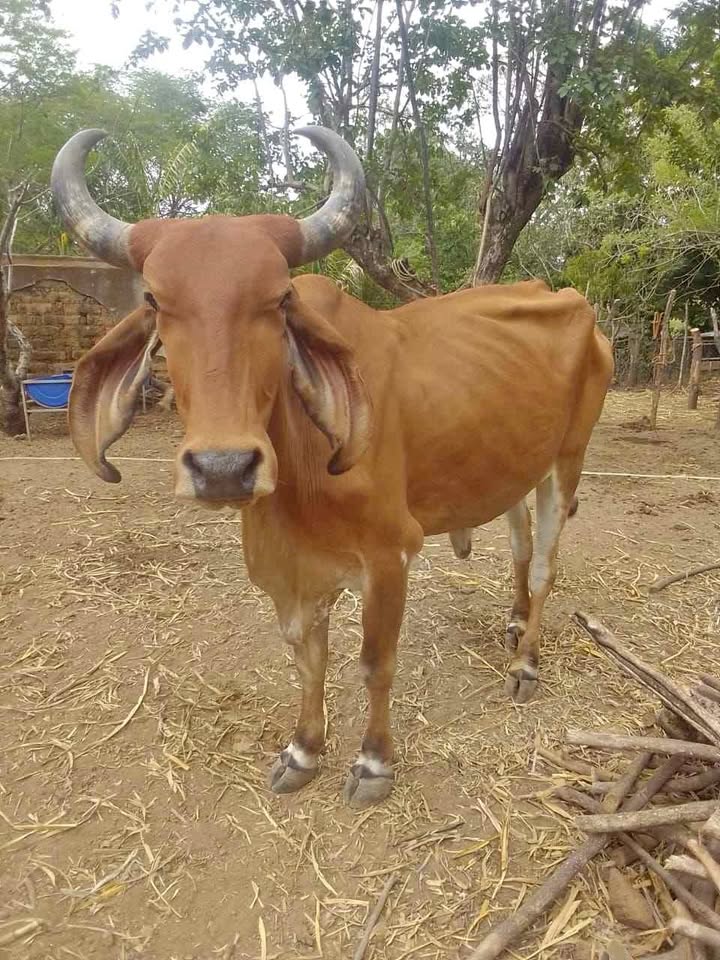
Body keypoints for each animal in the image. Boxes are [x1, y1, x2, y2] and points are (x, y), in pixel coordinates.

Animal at [51, 126, 613, 808]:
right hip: (512, 465)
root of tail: (566, 296)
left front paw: (372, 763)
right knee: (521, 542)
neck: (299, 479)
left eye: (279, 299)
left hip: (568, 459)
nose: (223, 467)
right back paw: (513, 620)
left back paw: (526, 661)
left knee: (545, 564)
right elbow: (307, 658)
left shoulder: (389, 554)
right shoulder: (288, 568)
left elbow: (375, 663)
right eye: (155, 300)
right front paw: (303, 750)